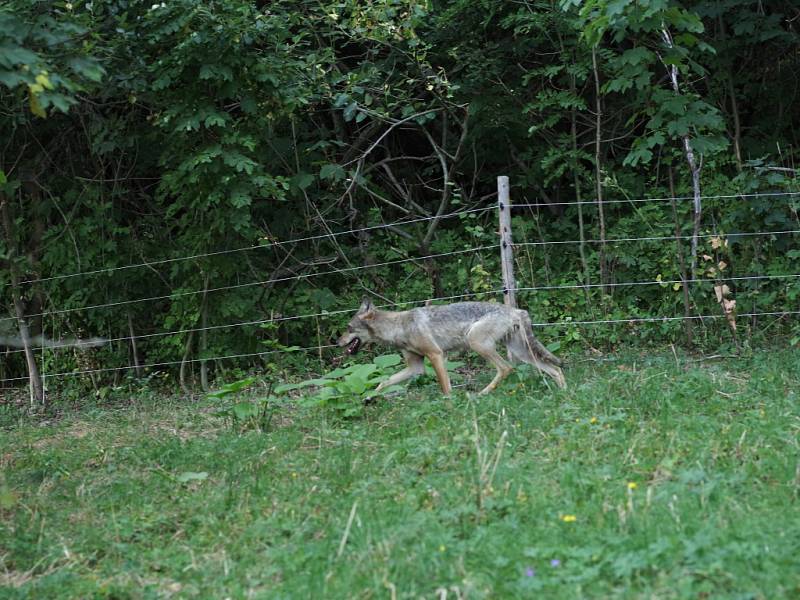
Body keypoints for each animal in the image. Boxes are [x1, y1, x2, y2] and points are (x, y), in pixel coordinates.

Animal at [334, 298, 564, 394]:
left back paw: (481, 394)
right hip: (522, 353)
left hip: (477, 343)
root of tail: (516, 310)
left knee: (506, 368)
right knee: (555, 370)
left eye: (348, 328)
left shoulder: (435, 355)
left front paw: (450, 407)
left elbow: (445, 388)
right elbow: (383, 383)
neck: (398, 327)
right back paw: (564, 394)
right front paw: (370, 398)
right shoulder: (415, 367)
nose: (335, 342)